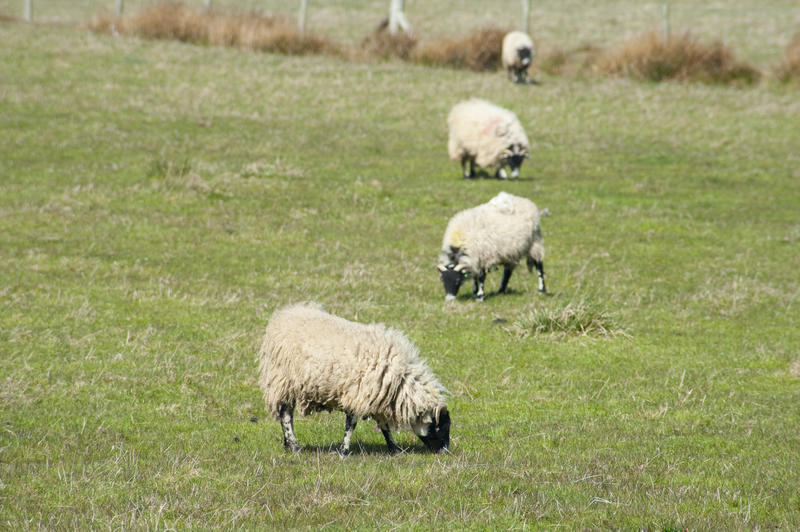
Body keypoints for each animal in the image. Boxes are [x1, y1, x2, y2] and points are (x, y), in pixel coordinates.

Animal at [260, 302, 454, 456]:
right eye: (440, 427)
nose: (445, 451)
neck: (401, 380)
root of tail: (283, 314)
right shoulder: (357, 393)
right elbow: (351, 424)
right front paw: (343, 451)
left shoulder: (379, 397)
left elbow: (384, 426)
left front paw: (395, 449)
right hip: (283, 381)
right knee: (285, 415)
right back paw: (293, 446)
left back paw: (288, 445)